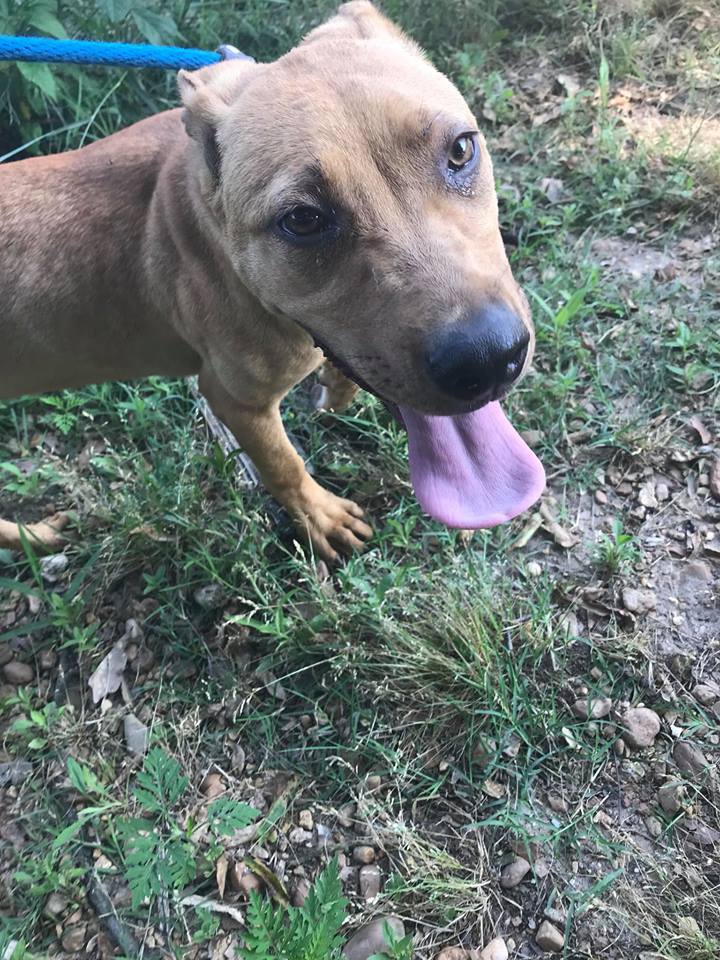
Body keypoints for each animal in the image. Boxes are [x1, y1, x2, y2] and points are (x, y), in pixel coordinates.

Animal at [0, 1, 540, 564]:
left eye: (460, 150)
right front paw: (319, 518)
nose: (488, 359)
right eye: (302, 220)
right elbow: (284, 463)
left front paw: (336, 391)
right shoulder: (235, 399)